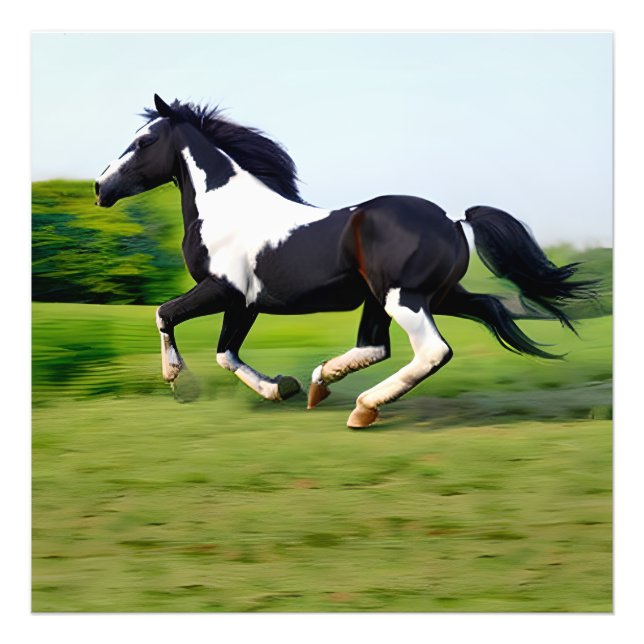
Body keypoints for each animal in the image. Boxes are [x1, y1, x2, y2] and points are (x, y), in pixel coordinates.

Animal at [95, 94, 594, 428]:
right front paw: (282, 387)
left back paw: (363, 407)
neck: (228, 210)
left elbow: (165, 315)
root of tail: (453, 219)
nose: (101, 189)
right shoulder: (245, 303)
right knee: (391, 342)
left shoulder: (222, 290)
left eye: (143, 141)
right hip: (422, 296)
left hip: (403, 298)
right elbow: (226, 354)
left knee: (431, 351)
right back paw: (322, 383)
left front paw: (178, 383)